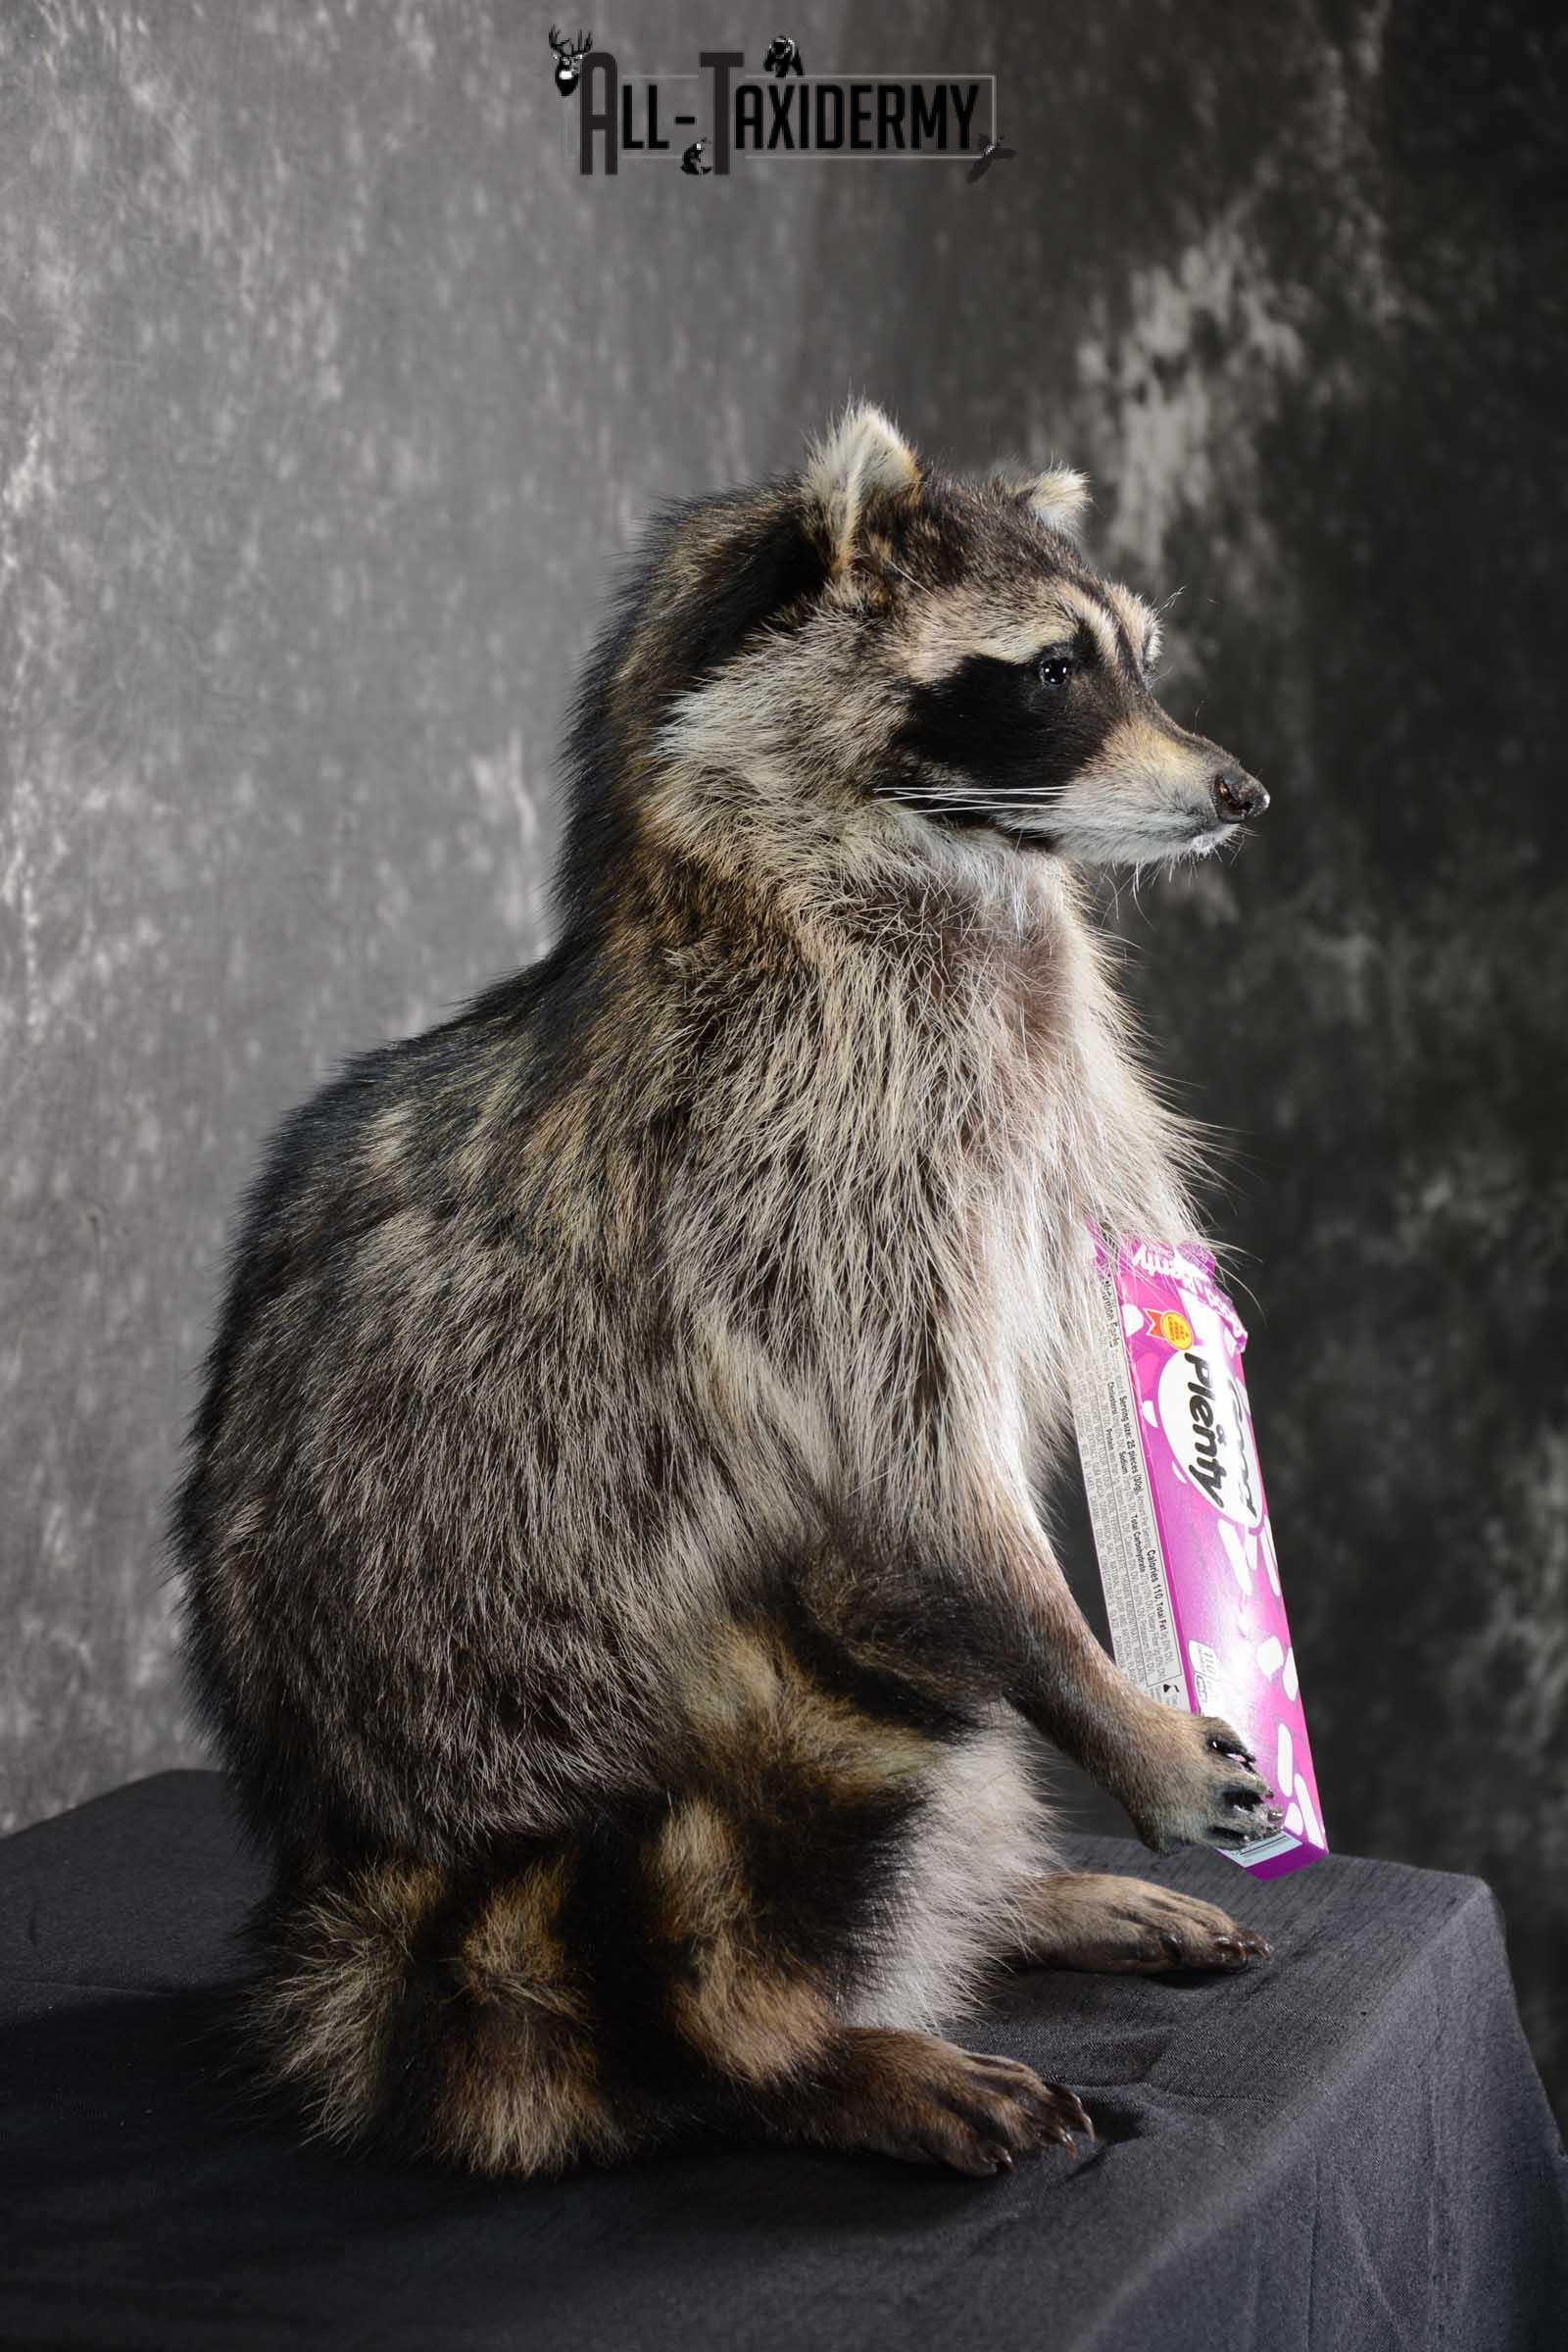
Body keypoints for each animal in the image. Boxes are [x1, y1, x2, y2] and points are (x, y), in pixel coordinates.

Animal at [175, 404, 1279, 2182]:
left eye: (1137, 659)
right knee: (711, 1939)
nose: (1242, 792)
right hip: (560, 1755)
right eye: (1049, 672)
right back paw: (814, 2050)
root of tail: (360, 1905)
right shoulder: (807, 1164)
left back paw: (1007, 1903)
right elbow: (921, 1474)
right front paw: (1110, 1701)